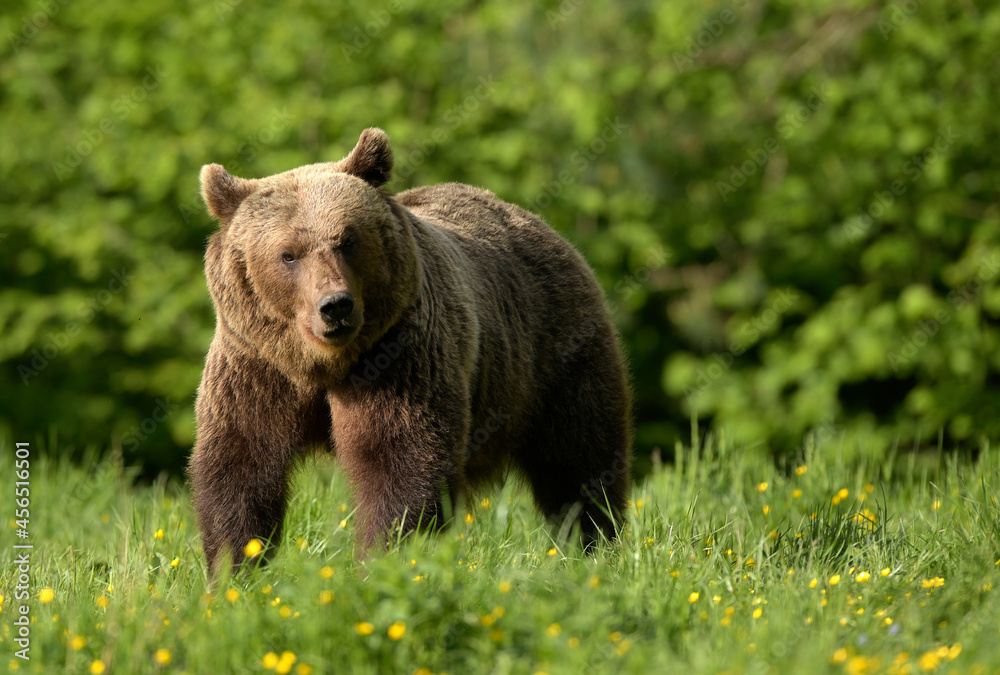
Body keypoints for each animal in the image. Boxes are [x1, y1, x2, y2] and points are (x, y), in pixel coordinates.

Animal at [188, 127, 632, 575]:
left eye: (347, 240)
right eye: (288, 254)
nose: (335, 306)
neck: (322, 365)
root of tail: (539, 225)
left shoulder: (399, 358)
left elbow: (402, 460)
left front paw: (385, 557)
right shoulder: (257, 368)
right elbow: (240, 466)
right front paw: (234, 566)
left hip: (554, 357)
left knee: (578, 459)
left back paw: (593, 544)